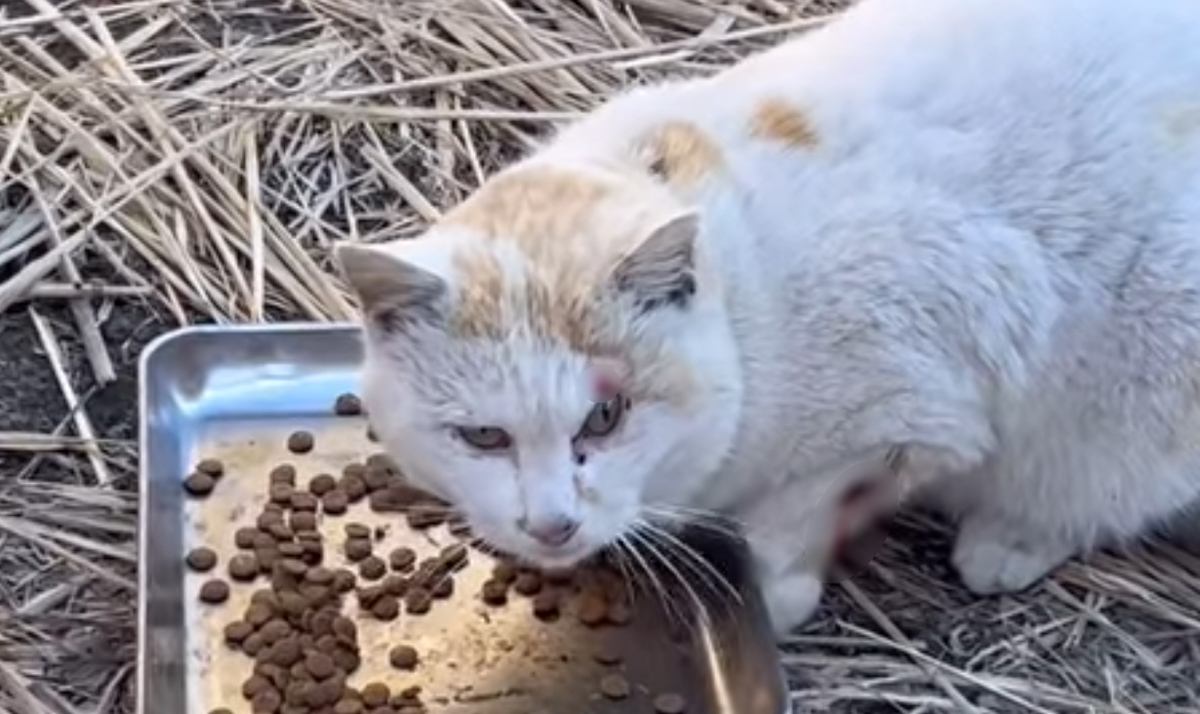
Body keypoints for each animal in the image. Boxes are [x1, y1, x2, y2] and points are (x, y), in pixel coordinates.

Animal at [336, 0, 1200, 638]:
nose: (550, 526)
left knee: (1097, 484)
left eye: (606, 418)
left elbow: (785, 522)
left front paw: (775, 598)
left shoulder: (901, 416)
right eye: (483, 437)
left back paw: (1007, 539)